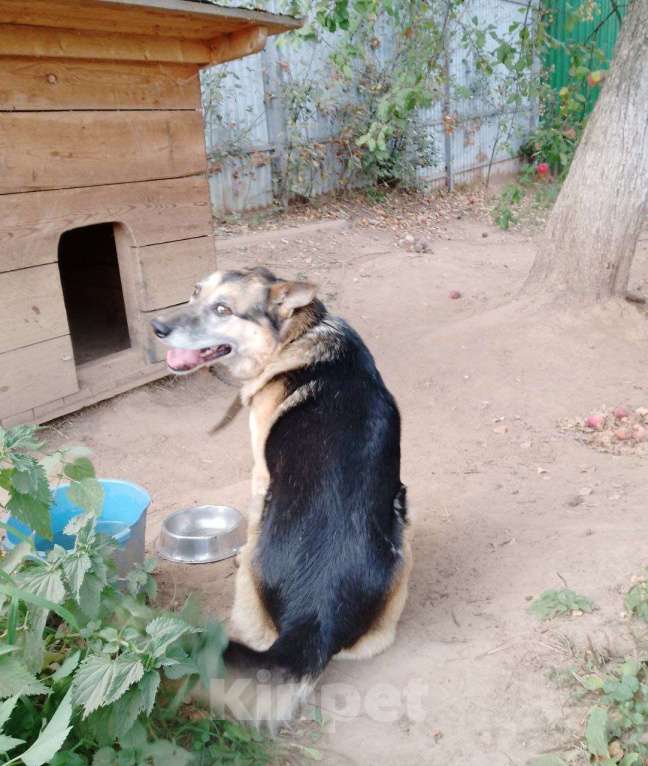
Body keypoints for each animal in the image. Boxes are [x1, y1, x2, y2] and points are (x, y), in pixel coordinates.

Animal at [151, 268, 410, 724]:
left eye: (223, 309)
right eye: (195, 293)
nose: (157, 328)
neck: (295, 335)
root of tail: (314, 618)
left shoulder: (260, 472)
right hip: (402, 539)